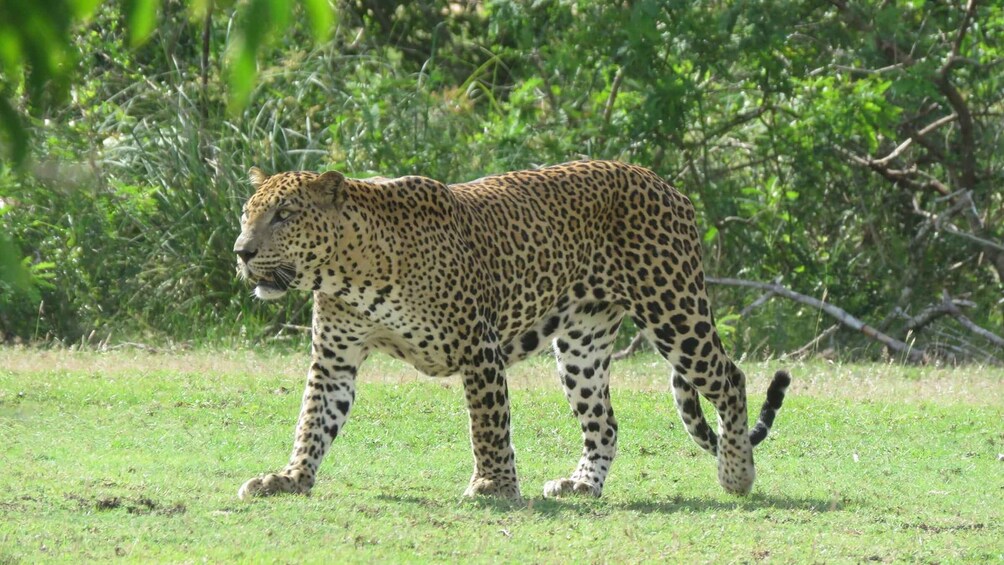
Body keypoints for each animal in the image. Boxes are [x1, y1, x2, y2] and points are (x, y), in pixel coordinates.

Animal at [233, 159, 790, 501]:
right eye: (247, 213)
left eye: (284, 215)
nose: (241, 251)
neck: (349, 270)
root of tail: (664, 183)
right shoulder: (334, 360)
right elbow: (313, 422)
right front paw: (290, 478)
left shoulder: (478, 348)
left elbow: (488, 424)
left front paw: (494, 486)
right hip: (582, 346)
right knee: (605, 422)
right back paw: (582, 485)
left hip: (674, 311)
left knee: (731, 379)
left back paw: (737, 474)